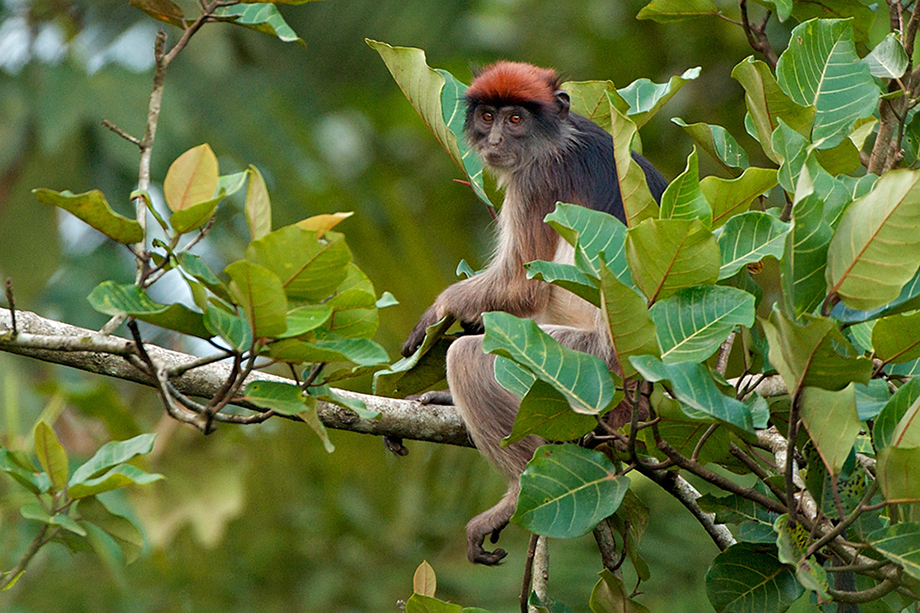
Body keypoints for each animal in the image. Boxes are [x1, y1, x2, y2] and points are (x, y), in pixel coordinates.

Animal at [402, 62, 668, 564]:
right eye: (488, 116)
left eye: (516, 120)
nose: (494, 140)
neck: (558, 137)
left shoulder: (537, 177)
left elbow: (519, 288)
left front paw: (440, 310)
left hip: (583, 368)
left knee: (467, 355)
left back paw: (514, 497)